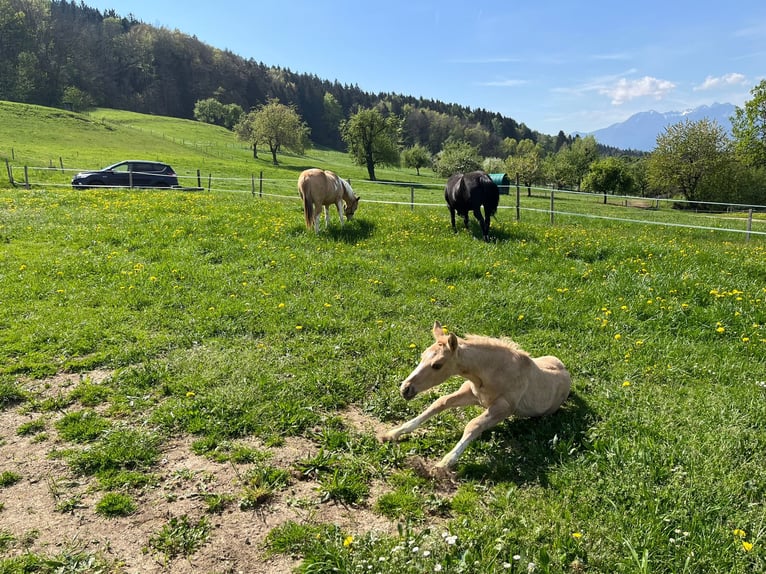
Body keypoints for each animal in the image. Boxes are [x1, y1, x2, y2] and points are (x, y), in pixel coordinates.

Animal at [380, 322, 572, 470]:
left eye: (437, 365)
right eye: (421, 356)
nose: (406, 389)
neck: (495, 372)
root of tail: (565, 370)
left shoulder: (503, 408)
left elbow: (474, 425)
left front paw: (446, 462)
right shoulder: (470, 393)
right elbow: (439, 403)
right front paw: (392, 434)